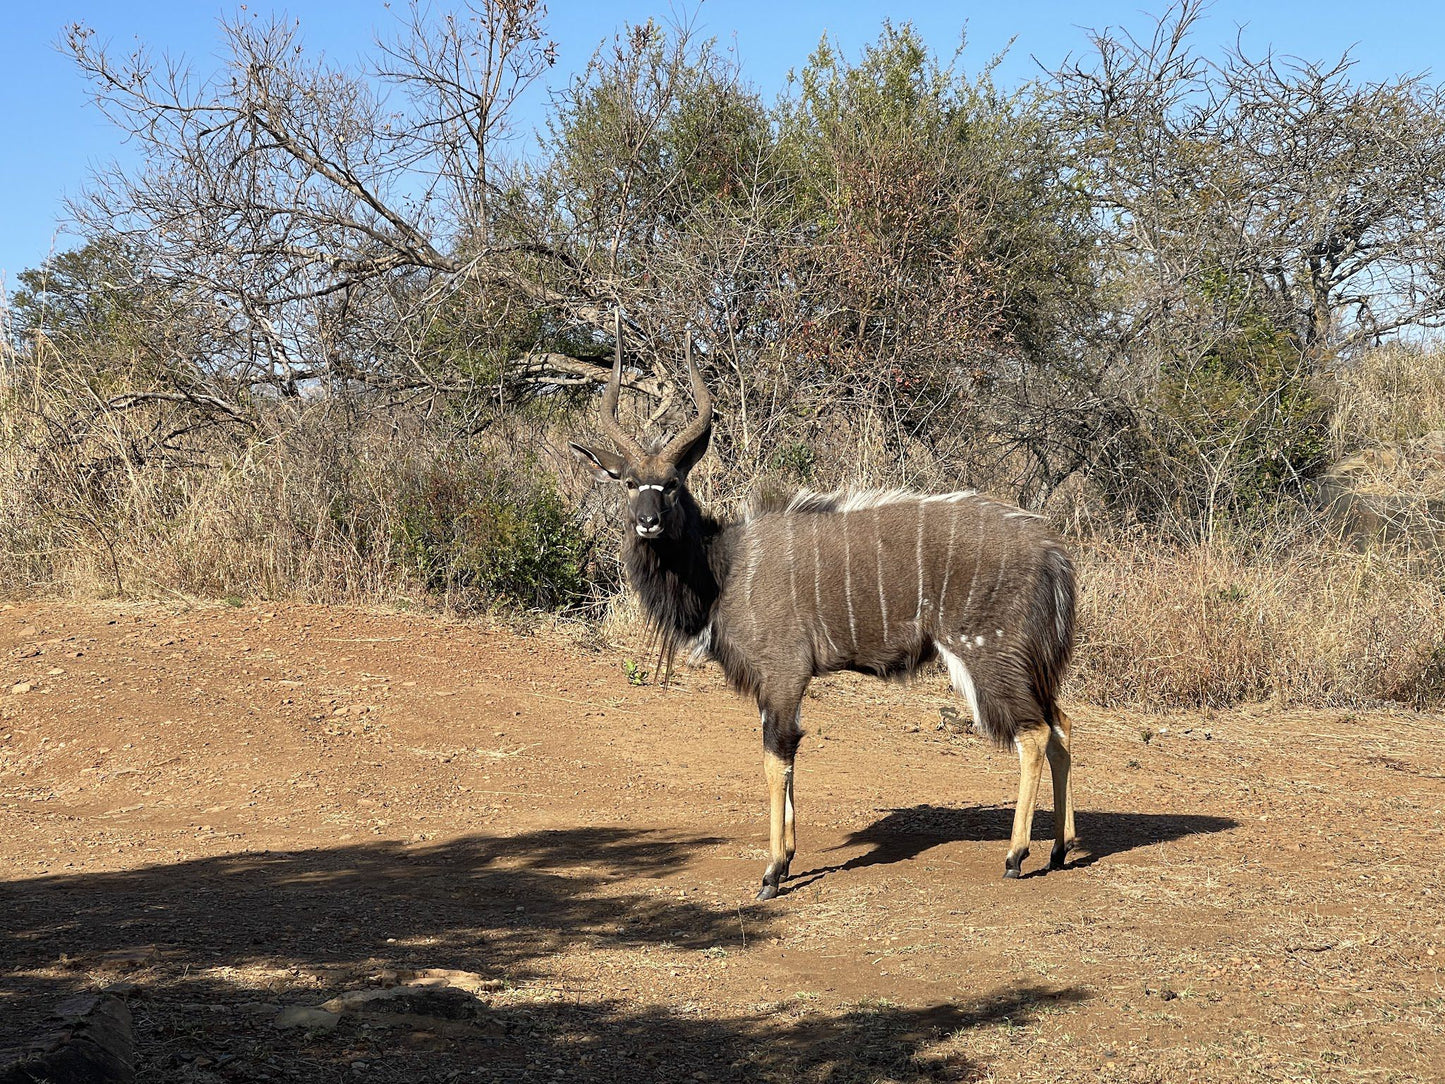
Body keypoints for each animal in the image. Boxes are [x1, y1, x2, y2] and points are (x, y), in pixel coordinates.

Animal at [569, 326, 1080, 901]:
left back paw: (1017, 856)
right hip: (1031, 664)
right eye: (629, 482)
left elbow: (777, 755)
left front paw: (772, 872)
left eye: (673, 483)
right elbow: (786, 752)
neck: (723, 567)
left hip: (988, 656)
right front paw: (789, 858)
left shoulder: (784, 672)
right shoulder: (774, 684)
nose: (648, 522)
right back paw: (1060, 849)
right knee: (1061, 725)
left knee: (1034, 735)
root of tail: (1053, 553)